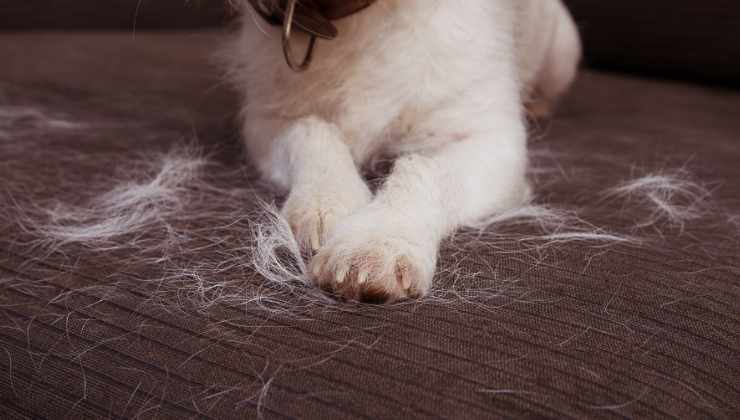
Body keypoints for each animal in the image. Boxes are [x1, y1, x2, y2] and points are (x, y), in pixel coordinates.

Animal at [225, 0, 580, 302]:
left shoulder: (492, 141)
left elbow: (426, 171)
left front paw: (376, 242)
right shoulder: (267, 123)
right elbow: (313, 133)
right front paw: (326, 202)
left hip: (562, 50)